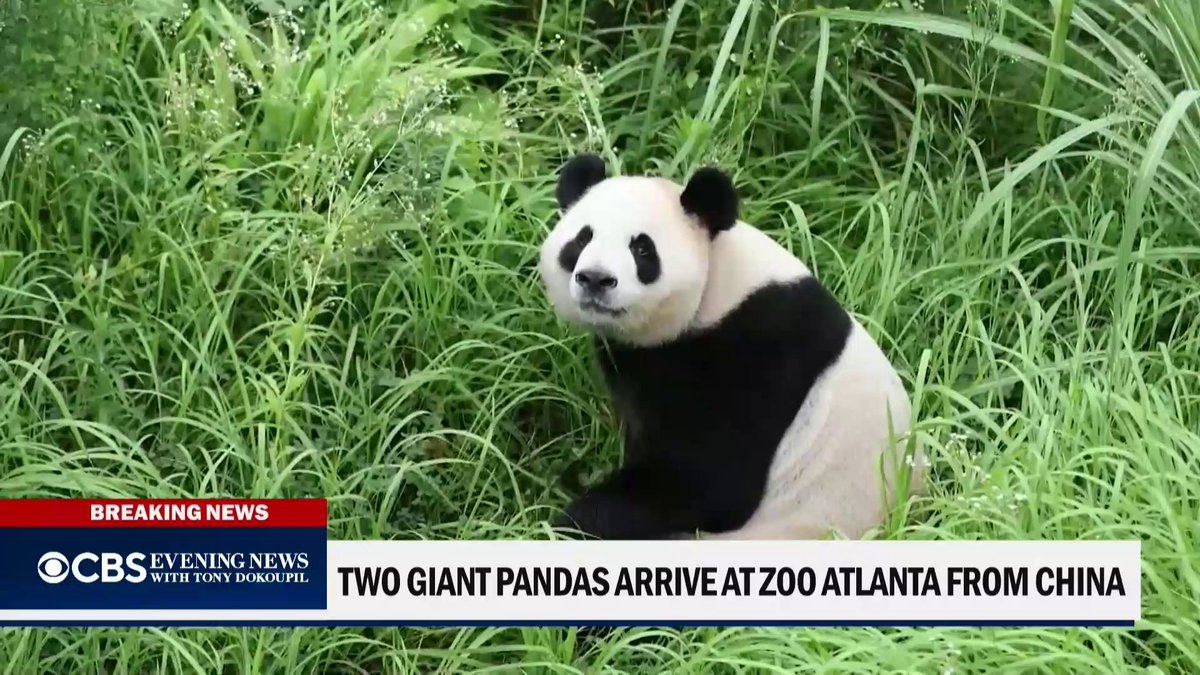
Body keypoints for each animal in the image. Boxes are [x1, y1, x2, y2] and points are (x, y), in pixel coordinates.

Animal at [538, 153, 925, 541]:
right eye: (582, 239)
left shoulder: (753, 354)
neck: (718, 286)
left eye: (642, 248)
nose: (595, 279)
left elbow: (707, 483)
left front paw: (568, 521)